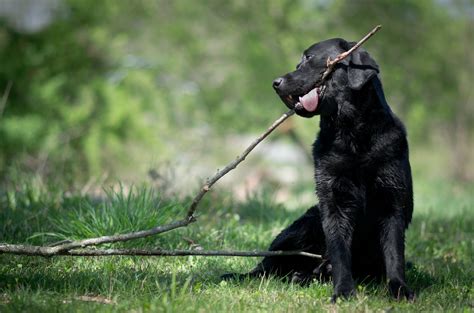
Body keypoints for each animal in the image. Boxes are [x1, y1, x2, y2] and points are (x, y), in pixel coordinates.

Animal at [224, 37, 412, 302]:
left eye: (309, 59)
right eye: (297, 63)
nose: (275, 83)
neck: (351, 134)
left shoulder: (391, 201)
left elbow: (394, 253)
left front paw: (399, 289)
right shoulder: (333, 203)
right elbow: (340, 250)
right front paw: (343, 291)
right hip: (306, 223)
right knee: (266, 267)